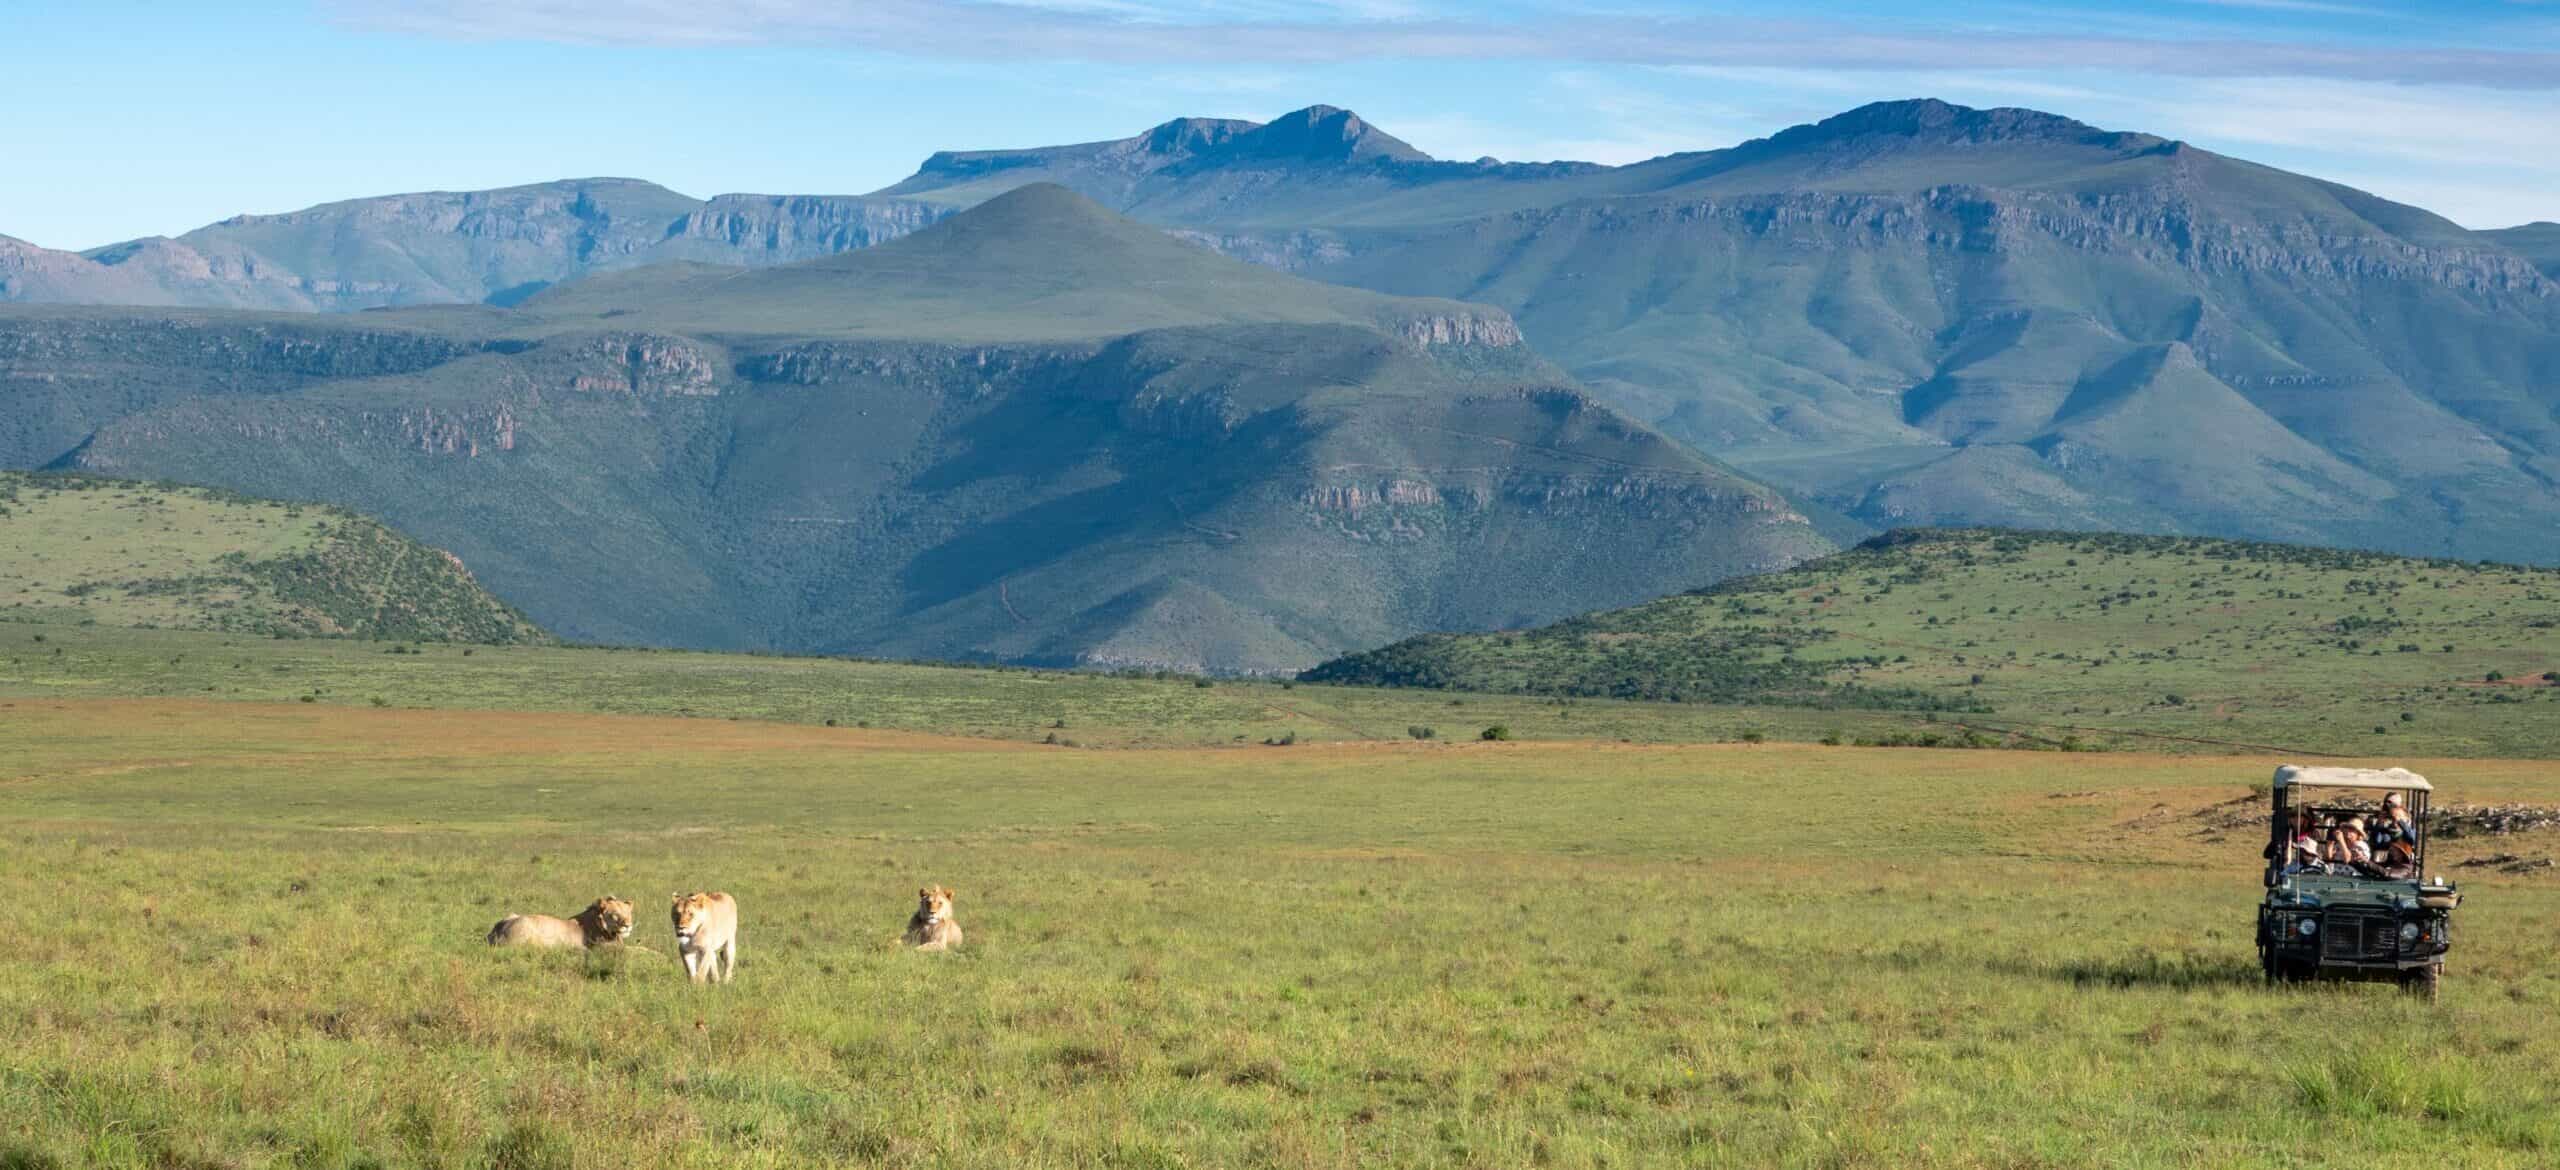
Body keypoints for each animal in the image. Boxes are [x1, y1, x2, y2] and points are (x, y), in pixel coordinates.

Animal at [486, 896, 634, 949]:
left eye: (628, 914)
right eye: (615, 915)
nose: (628, 926)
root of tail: (496, 931)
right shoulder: (606, 948)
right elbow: (634, 951)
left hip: (512, 914)